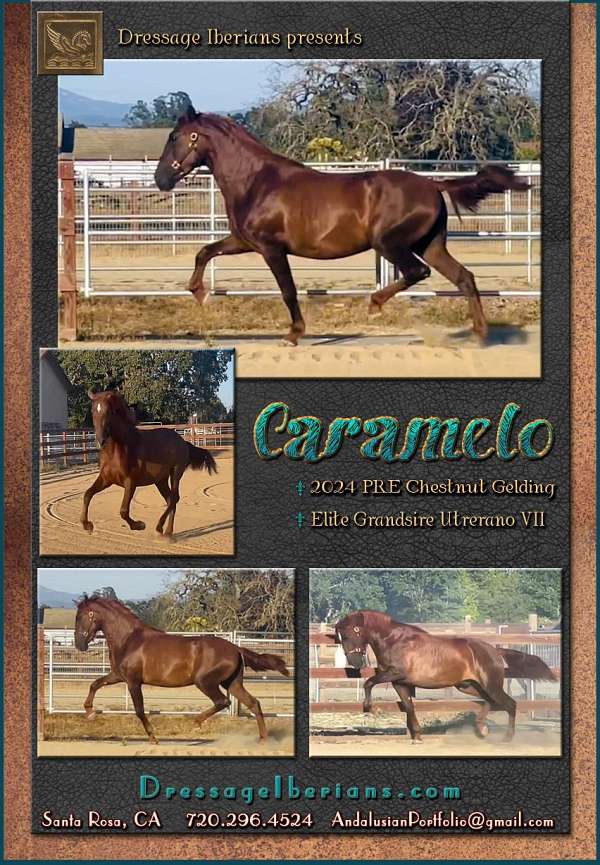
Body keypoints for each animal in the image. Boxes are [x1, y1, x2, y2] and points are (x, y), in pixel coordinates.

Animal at [74, 595, 290, 743]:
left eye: (81, 617)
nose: (79, 645)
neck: (129, 639)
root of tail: (236, 648)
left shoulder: (133, 682)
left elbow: (139, 710)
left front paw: (153, 738)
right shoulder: (118, 675)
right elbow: (95, 684)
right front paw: (90, 712)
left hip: (205, 682)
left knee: (223, 702)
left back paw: (195, 722)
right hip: (232, 683)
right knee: (253, 703)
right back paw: (263, 740)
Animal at [80, 390, 217, 540]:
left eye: (110, 411)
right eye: (93, 410)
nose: (101, 440)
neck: (117, 450)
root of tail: (183, 442)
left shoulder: (130, 482)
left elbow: (123, 510)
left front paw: (139, 525)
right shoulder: (106, 479)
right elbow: (87, 494)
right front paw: (87, 525)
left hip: (176, 472)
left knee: (174, 498)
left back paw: (160, 528)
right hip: (160, 480)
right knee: (171, 499)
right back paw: (168, 532)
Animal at [154, 104, 529, 345]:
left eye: (175, 137)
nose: (160, 180)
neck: (256, 181)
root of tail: (433, 185)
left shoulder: (271, 249)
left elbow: (288, 290)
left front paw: (293, 335)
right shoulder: (244, 241)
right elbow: (205, 252)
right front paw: (199, 292)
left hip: (389, 244)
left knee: (417, 272)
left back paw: (375, 304)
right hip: (431, 245)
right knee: (464, 277)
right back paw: (480, 335)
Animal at [332, 610, 556, 742]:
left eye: (351, 634)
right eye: (340, 638)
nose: (355, 663)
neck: (394, 640)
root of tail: (494, 650)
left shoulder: (395, 674)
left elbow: (369, 682)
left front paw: (371, 709)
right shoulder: (399, 683)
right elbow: (408, 706)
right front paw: (417, 736)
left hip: (490, 685)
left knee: (510, 704)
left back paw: (507, 738)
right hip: (469, 686)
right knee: (489, 703)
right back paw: (482, 729)